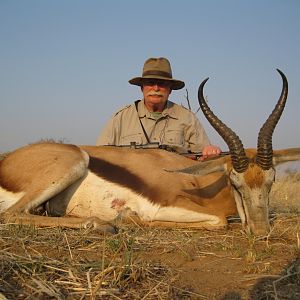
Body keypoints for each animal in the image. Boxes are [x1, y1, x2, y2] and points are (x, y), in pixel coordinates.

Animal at [0, 69, 298, 236]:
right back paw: (102, 224)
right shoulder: (161, 207)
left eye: (271, 181)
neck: (197, 183)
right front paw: (128, 217)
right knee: (10, 215)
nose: (261, 232)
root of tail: (7, 162)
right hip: (74, 161)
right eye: (235, 182)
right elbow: (219, 221)